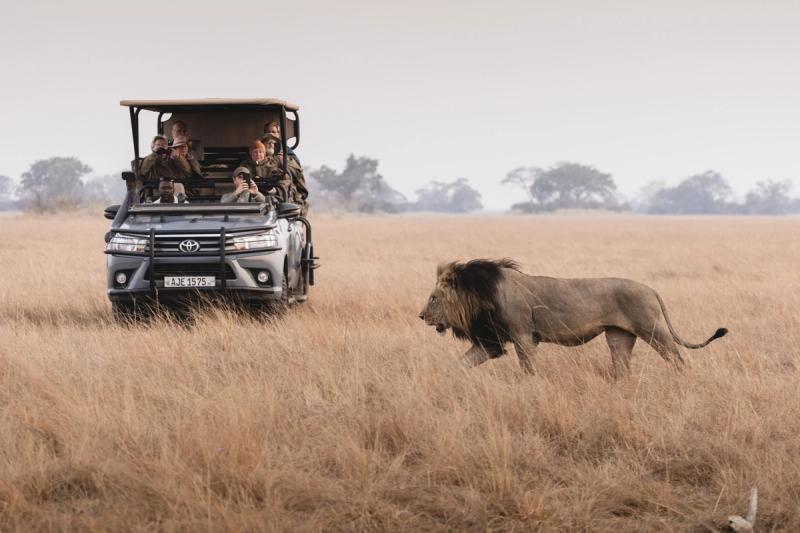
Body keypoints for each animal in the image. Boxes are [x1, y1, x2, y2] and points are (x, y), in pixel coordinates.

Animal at [418, 259, 727, 377]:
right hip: (619, 336)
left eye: (433, 298)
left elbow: (527, 368)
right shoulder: (489, 342)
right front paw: (445, 380)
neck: (480, 295)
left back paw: (683, 379)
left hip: (652, 329)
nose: (420, 316)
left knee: (677, 358)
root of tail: (651, 288)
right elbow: (459, 364)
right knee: (622, 367)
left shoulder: (523, 335)